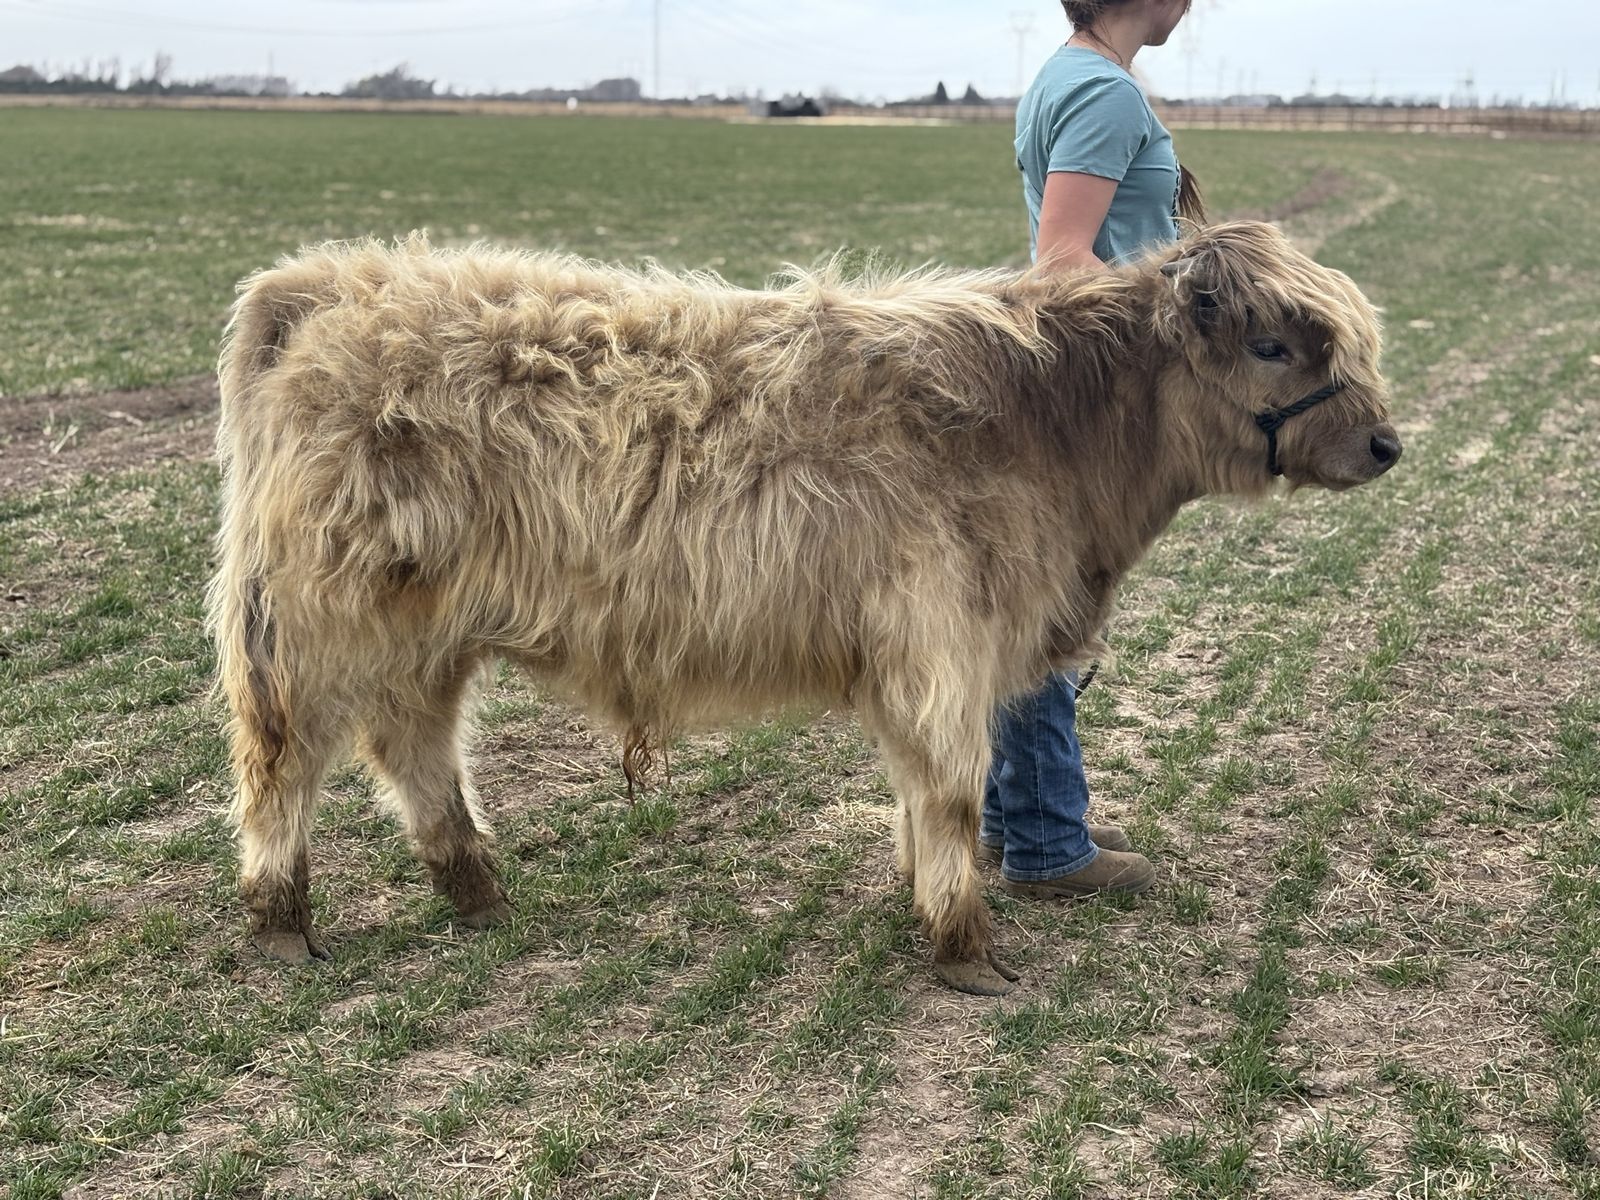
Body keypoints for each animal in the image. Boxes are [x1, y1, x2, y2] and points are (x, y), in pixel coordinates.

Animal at [208, 221, 1398, 996]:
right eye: (1273, 343)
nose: (1387, 443)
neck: (1049, 431)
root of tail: (330, 282)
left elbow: (921, 795)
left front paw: (922, 898)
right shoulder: (941, 644)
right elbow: (952, 791)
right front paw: (966, 949)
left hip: (426, 630)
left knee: (415, 745)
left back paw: (477, 893)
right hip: (320, 624)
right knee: (285, 761)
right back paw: (281, 926)